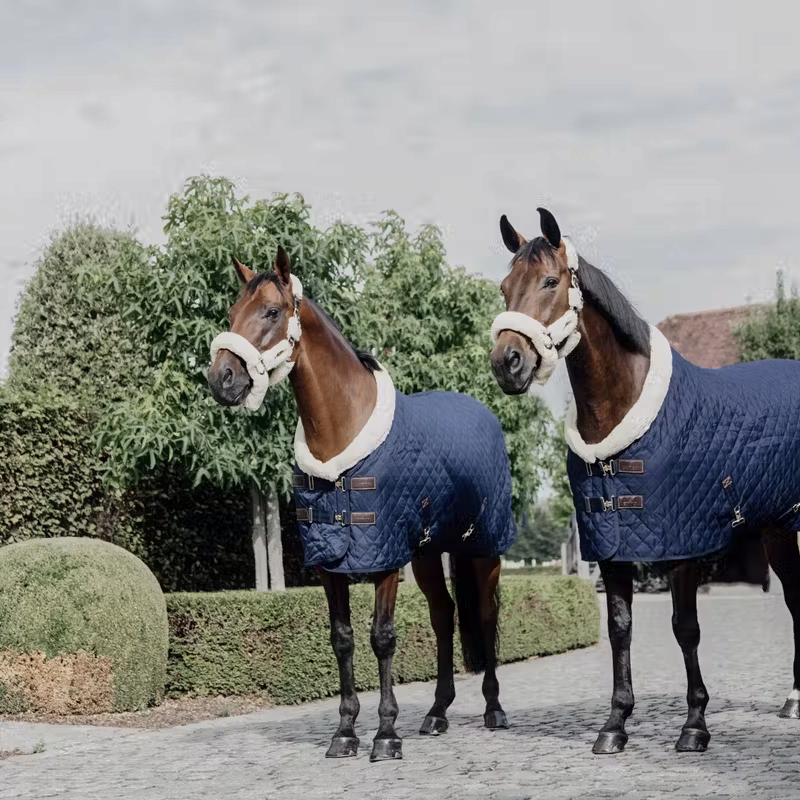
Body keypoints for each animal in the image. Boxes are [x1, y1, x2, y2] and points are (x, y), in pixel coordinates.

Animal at [207, 247, 516, 762]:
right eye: (231, 313)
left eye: (271, 312)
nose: (221, 379)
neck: (341, 438)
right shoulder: (329, 563)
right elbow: (343, 639)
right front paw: (346, 732)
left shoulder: (385, 557)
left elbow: (382, 637)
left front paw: (386, 734)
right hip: (428, 553)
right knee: (443, 615)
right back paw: (437, 713)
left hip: (483, 548)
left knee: (486, 616)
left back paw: (494, 709)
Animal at [489, 207, 800, 755]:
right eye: (505, 287)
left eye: (550, 281)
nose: (507, 363)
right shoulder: (611, 546)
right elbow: (620, 629)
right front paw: (615, 724)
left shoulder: (680, 546)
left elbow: (685, 628)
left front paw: (694, 725)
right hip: (778, 532)